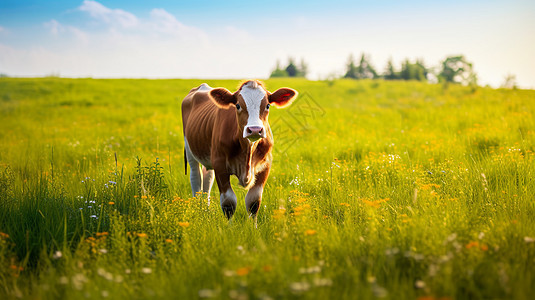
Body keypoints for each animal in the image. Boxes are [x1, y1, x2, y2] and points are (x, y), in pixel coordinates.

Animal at [180, 80, 298, 218]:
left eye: (268, 105)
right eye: (237, 105)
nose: (255, 129)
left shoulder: (265, 166)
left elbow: (253, 202)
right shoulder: (219, 164)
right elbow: (228, 203)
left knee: (207, 178)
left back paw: (205, 209)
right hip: (189, 149)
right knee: (195, 178)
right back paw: (198, 209)